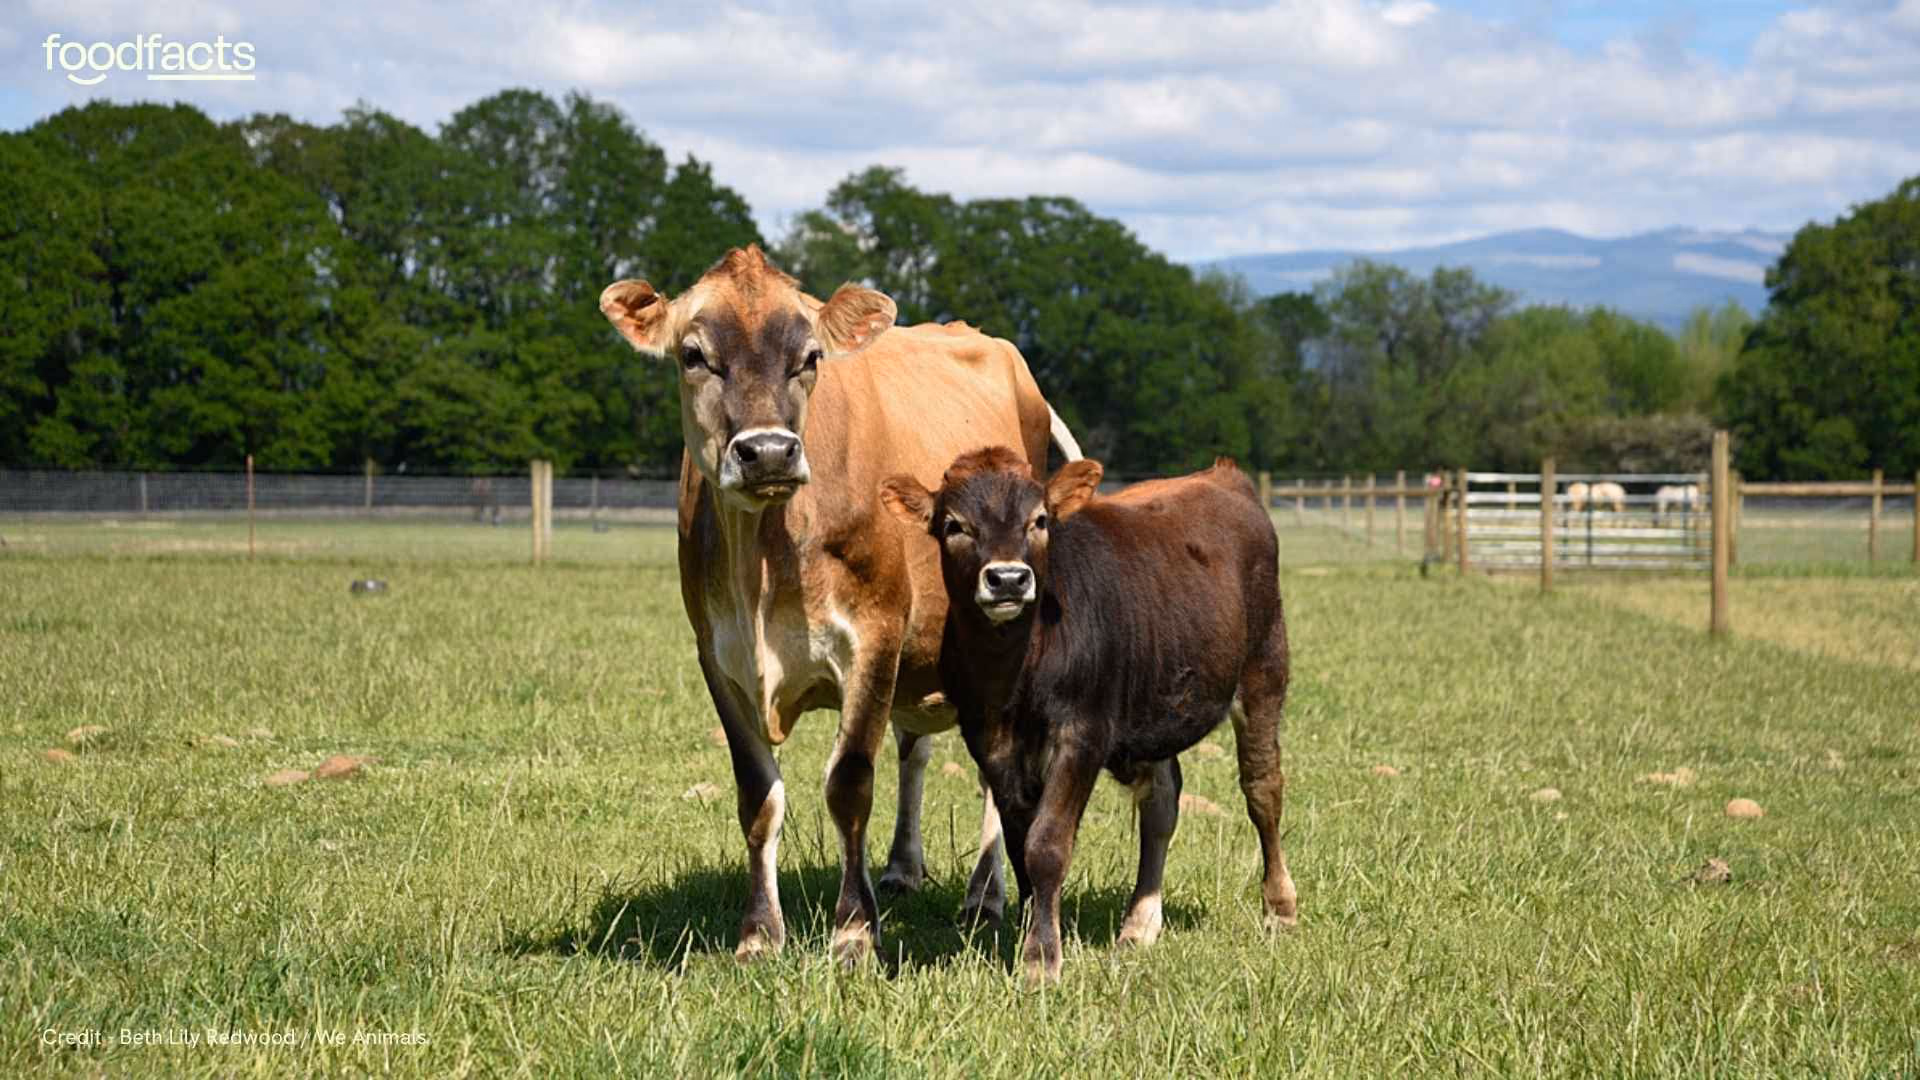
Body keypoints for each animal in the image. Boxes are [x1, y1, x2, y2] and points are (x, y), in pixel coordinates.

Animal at [598, 246, 1078, 965]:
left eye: (811, 356)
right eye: (693, 354)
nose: (768, 451)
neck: (764, 562)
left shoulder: (875, 636)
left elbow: (850, 783)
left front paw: (853, 931)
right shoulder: (718, 656)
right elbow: (758, 797)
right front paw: (760, 933)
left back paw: (985, 896)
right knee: (916, 750)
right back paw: (904, 868)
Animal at [879, 449, 1297, 982]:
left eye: (1039, 519)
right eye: (954, 524)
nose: (1009, 579)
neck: (1018, 667)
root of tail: (1223, 475)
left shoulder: (1082, 735)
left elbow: (1047, 844)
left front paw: (1041, 959)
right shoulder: (989, 741)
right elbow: (1020, 845)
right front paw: (1034, 932)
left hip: (1264, 669)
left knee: (1262, 789)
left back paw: (1279, 907)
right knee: (1161, 805)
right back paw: (1140, 923)